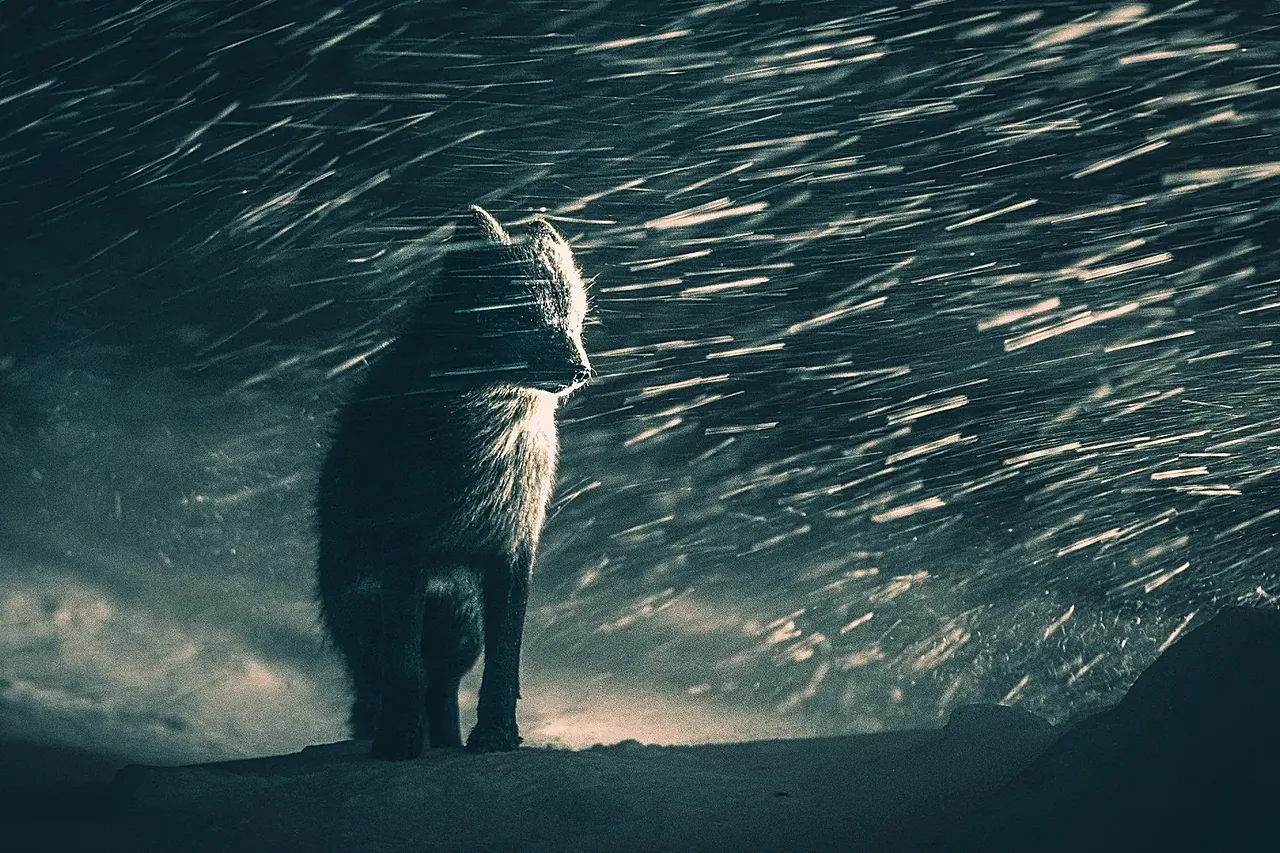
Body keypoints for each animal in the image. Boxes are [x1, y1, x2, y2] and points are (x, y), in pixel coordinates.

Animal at [315, 205, 591, 759]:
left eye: (574, 318)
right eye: (522, 315)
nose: (581, 370)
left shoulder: (512, 550)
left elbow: (504, 665)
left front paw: (496, 738)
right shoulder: (406, 552)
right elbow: (405, 670)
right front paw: (400, 744)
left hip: (460, 632)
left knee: (442, 691)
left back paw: (447, 741)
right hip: (369, 621)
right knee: (385, 682)